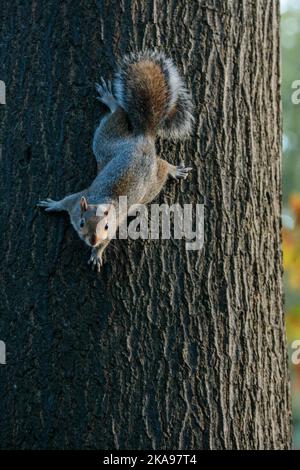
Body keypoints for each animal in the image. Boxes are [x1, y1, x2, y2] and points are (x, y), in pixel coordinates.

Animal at [37, 50, 193, 272]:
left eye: (106, 226)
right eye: (82, 223)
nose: (92, 240)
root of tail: (143, 138)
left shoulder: (113, 225)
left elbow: (106, 242)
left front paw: (97, 253)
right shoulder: (76, 202)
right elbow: (66, 200)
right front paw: (54, 204)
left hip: (150, 181)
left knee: (161, 165)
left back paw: (172, 170)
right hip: (106, 143)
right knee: (118, 112)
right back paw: (110, 99)